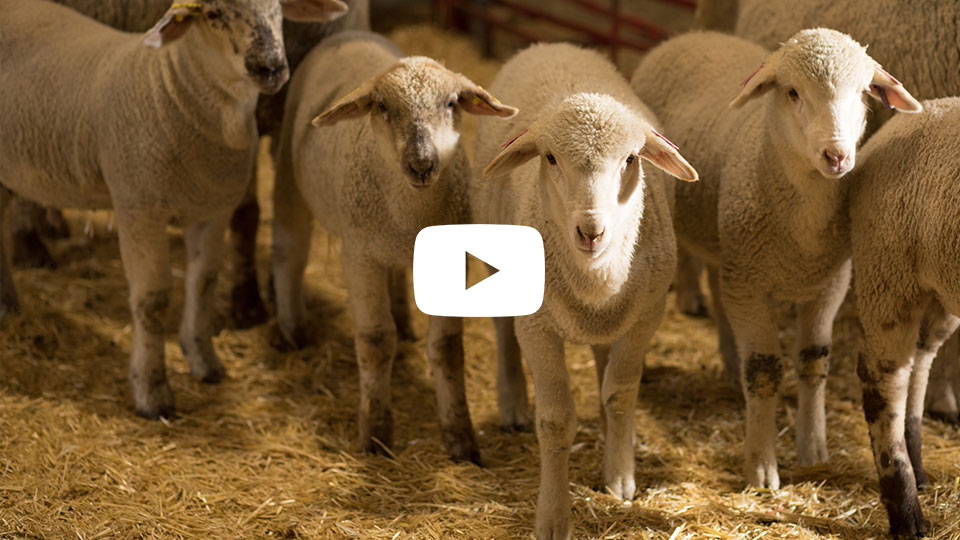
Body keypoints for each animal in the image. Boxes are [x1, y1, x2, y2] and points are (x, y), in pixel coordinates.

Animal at [0, 0, 346, 418]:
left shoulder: (212, 210)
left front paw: (204, 361)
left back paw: (7, 304)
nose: (271, 68)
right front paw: (152, 392)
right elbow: (152, 301)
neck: (172, 89)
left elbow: (204, 281)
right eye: (213, 15)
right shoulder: (139, 209)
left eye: (279, 7)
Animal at [270, 31, 518, 462]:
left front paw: (460, 438)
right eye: (382, 106)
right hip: (289, 168)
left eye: (451, 103)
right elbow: (374, 342)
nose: (422, 164)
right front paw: (376, 433)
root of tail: (348, 34)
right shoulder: (361, 256)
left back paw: (403, 319)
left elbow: (448, 347)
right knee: (290, 249)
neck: (409, 212)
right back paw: (295, 329)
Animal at [474, 42, 698, 539]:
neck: (594, 278)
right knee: (501, 329)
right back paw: (513, 403)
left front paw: (620, 475)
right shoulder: (536, 326)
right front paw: (553, 516)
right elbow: (556, 420)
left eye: (631, 159)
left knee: (604, 365)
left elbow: (620, 392)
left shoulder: (647, 314)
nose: (591, 231)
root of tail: (551, 44)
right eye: (550, 159)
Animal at [631, 29, 922, 489]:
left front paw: (813, 448)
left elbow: (813, 361)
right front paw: (761, 465)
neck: (803, 226)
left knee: (719, 291)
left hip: (728, 247)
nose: (837, 156)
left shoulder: (830, 284)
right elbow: (764, 369)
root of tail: (691, 35)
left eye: (862, 93)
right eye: (792, 92)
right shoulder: (749, 282)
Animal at [849, 97, 960, 539]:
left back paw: (919, 466)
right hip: (887, 270)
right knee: (884, 380)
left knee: (920, 362)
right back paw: (907, 511)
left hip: (936, 290)